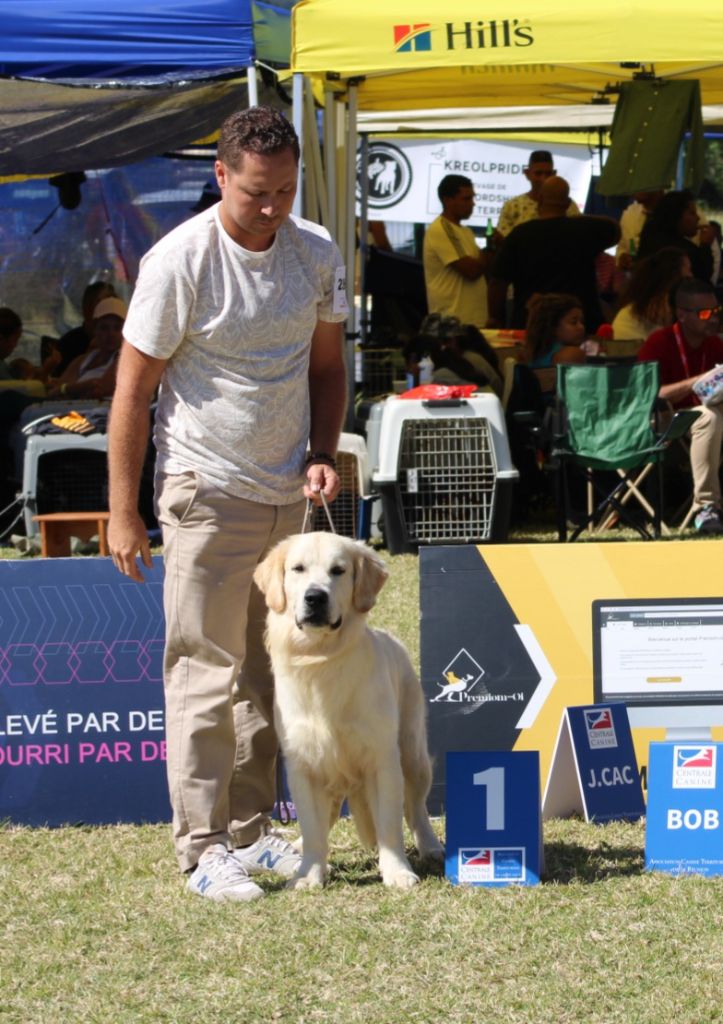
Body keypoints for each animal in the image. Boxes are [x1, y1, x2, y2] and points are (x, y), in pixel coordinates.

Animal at [253, 532, 444, 892]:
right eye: (297, 569)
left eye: (338, 570)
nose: (315, 597)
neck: (321, 661)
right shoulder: (303, 767)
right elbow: (313, 830)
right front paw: (308, 873)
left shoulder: (382, 760)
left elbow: (389, 826)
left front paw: (397, 872)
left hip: (412, 753)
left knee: (416, 808)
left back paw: (430, 846)